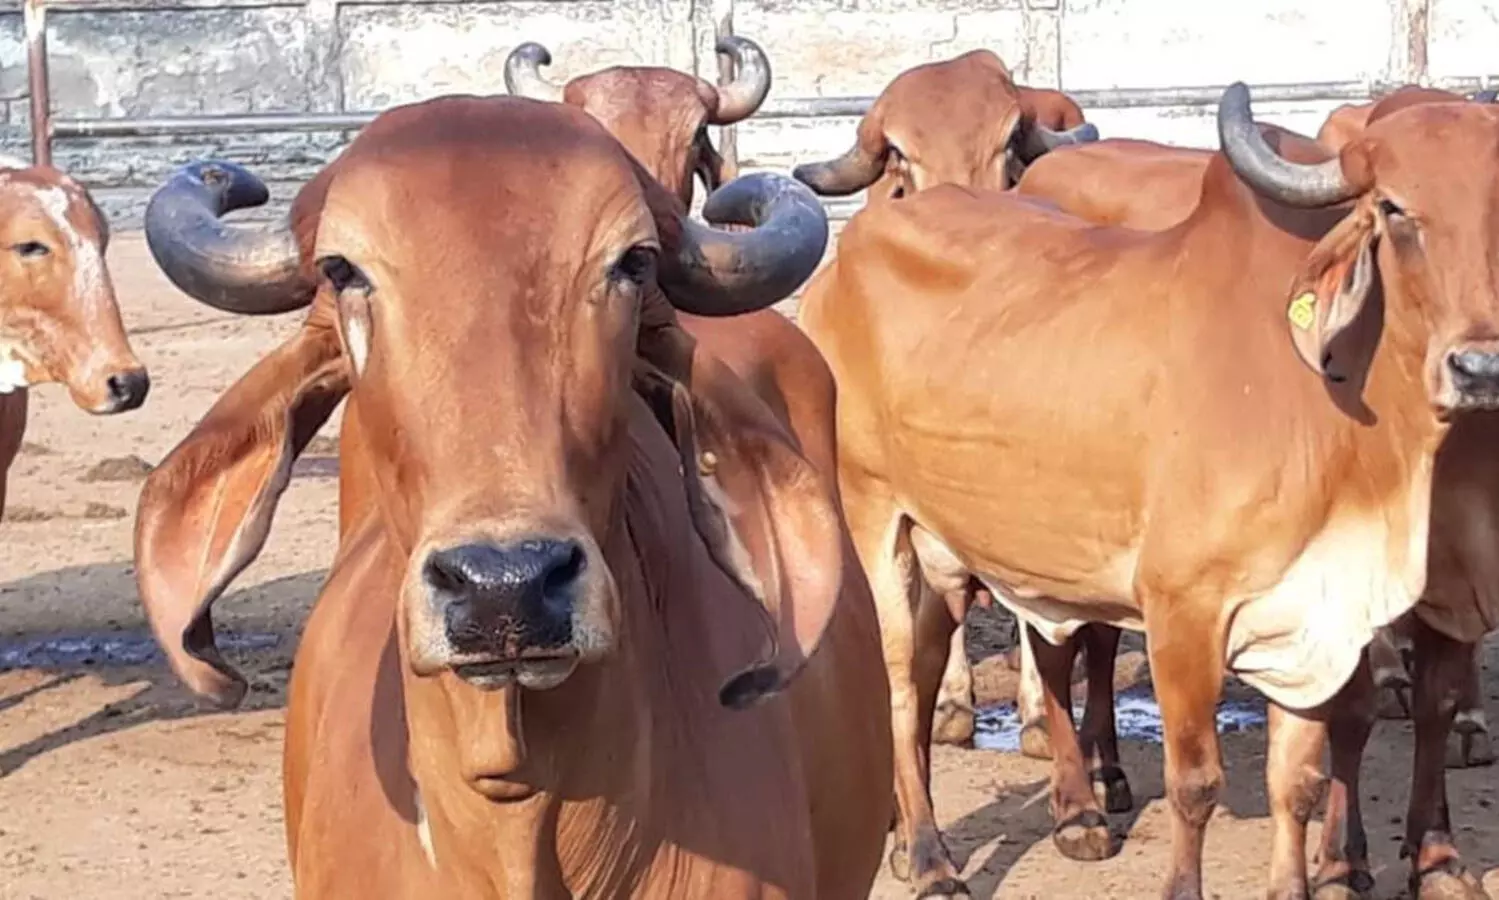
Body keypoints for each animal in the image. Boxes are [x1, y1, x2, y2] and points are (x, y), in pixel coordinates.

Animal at [796, 81, 1499, 899]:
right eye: (1392, 208)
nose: (1479, 368)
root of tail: (850, 250)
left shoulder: (1310, 615)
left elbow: (1297, 780)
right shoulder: (1182, 613)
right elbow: (1195, 782)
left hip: (949, 543)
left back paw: (913, 840)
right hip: (873, 519)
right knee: (901, 686)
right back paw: (937, 859)